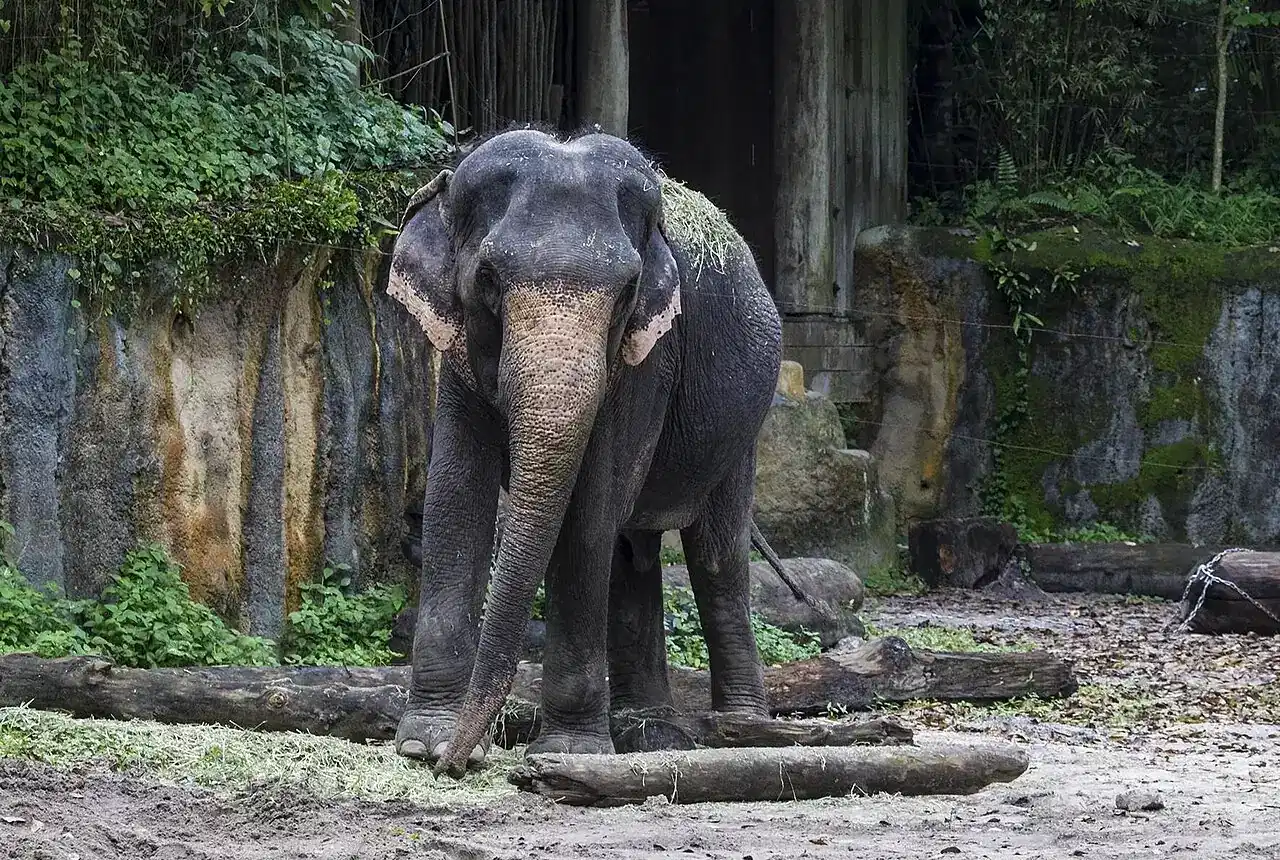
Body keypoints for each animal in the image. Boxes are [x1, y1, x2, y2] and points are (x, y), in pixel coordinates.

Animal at [387, 127, 795, 778]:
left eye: (627, 292)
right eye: (488, 280)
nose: (460, 762)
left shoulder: (650, 358)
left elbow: (588, 511)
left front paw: (568, 753)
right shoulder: (456, 350)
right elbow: (456, 493)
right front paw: (422, 745)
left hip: (743, 427)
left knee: (716, 555)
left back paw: (742, 733)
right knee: (633, 553)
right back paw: (651, 734)